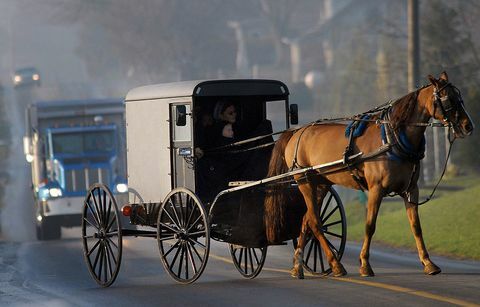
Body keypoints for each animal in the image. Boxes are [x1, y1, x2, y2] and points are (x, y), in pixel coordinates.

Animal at [264, 72, 474, 280]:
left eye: (460, 97)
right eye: (448, 99)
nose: (468, 126)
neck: (392, 138)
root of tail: (297, 131)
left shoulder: (411, 189)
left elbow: (416, 226)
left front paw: (428, 263)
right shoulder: (376, 189)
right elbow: (370, 226)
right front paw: (365, 264)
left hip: (321, 184)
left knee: (306, 219)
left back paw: (298, 265)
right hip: (305, 182)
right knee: (315, 221)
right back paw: (335, 264)